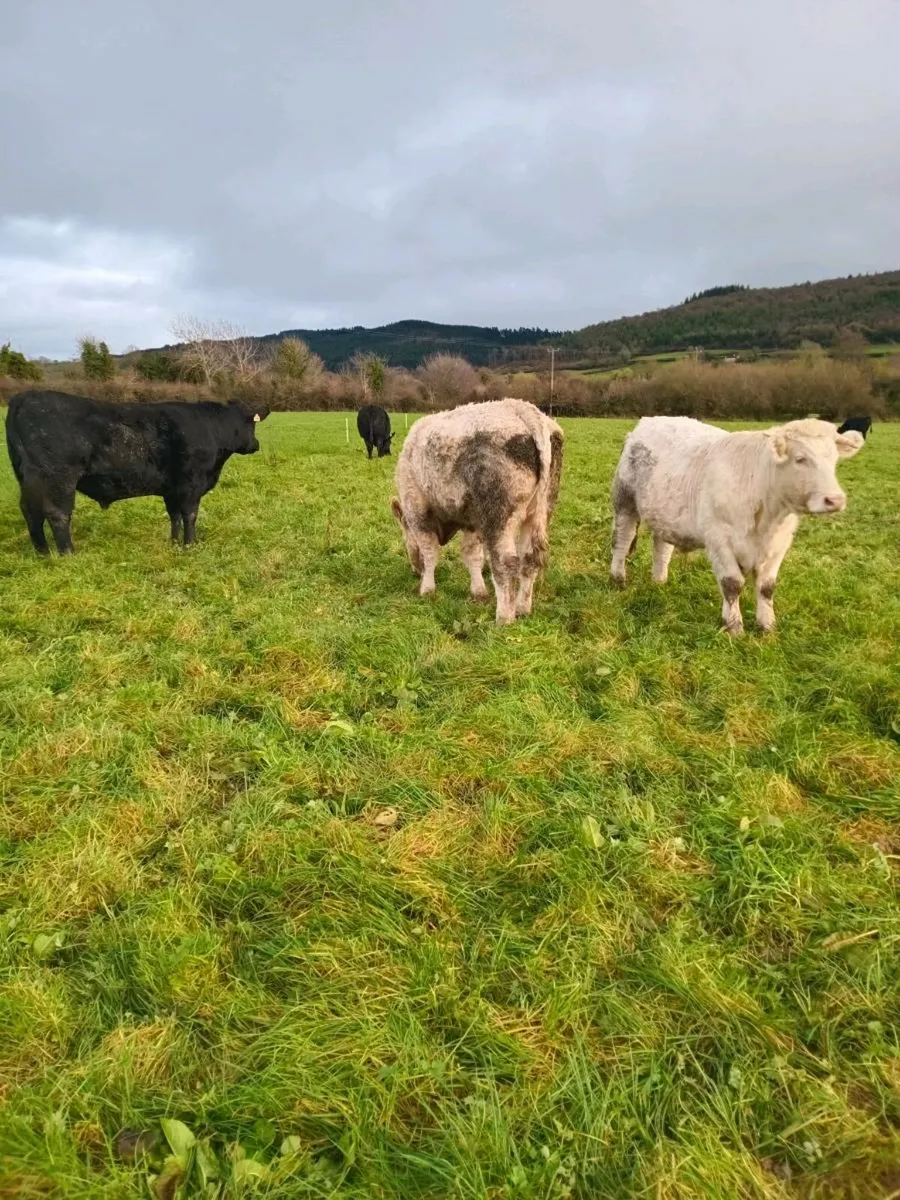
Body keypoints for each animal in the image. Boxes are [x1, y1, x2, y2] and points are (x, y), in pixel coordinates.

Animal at [5, 389, 270, 554]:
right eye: (252, 424)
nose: (256, 445)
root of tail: (24, 396)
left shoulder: (172, 488)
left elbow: (174, 516)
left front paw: (174, 543)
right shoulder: (191, 484)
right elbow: (190, 515)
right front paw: (191, 544)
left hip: (28, 478)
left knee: (31, 511)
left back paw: (42, 552)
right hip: (58, 478)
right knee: (57, 513)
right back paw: (68, 553)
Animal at [390, 398, 564, 624]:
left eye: (404, 534)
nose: (414, 572)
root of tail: (523, 409)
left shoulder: (417, 510)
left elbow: (429, 552)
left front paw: (427, 589)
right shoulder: (472, 520)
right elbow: (472, 554)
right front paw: (479, 592)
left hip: (497, 516)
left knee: (506, 563)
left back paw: (504, 618)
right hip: (539, 511)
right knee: (529, 559)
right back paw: (522, 609)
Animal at [610, 416, 865, 634]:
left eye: (834, 460)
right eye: (800, 458)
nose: (835, 500)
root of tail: (645, 423)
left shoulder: (780, 544)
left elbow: (767, 587)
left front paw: (768, 626)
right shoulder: (719, 540)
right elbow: (732, 584)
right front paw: (734, 627)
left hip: (664, 513)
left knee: (662, 546)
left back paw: (659, 581)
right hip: (625, 503)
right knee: (622, 542)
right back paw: (618, 579)